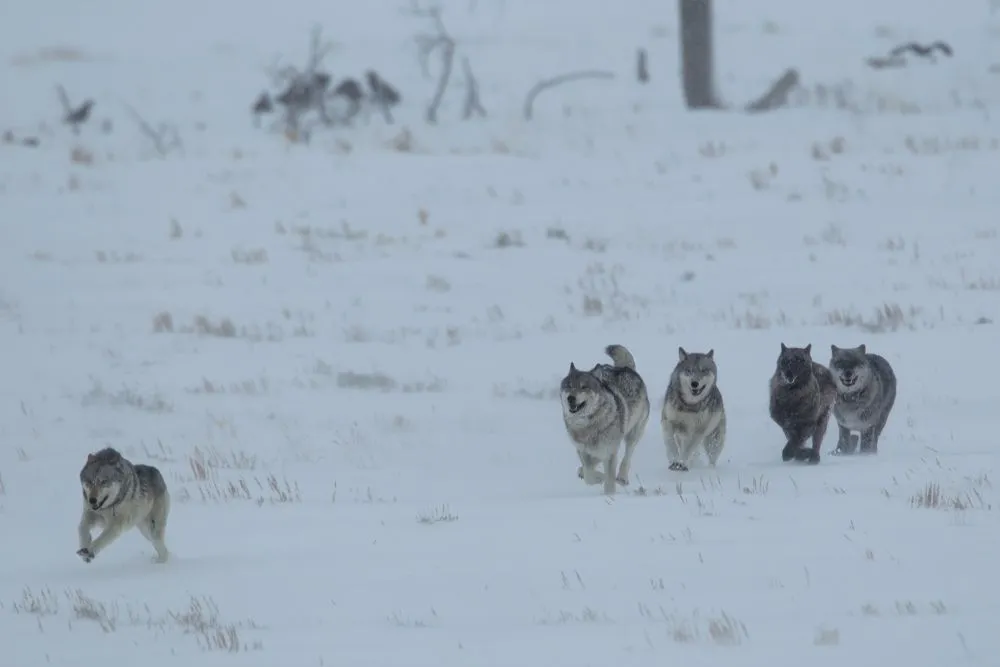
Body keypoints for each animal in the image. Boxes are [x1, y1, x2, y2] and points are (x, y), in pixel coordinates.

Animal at [560, 344, 650, 495]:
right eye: (569, 386)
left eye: (584, 387)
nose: (570, 398)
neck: (587, 426)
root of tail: (626, 368)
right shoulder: (582, 450)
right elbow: (589, 475)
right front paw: (597, 477)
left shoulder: (609, 453)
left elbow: (608, 481)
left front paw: (608, 491)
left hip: (633, 435)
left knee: (627, 457)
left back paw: (622, 478)